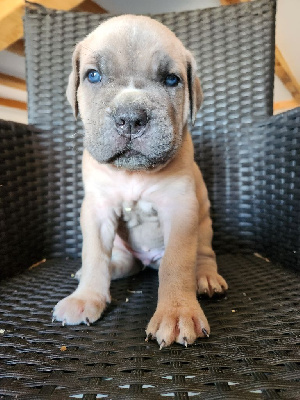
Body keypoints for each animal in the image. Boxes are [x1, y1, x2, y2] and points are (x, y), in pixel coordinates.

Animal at [53, 14, 227, 346]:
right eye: (93, 75)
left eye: (172, 80)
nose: (131, 117)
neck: (132, 173)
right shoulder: (97, 209)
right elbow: (94, 254)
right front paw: (86, 297)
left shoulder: (180, 208)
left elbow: (177, 263)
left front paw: (176, 313)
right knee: (121, 261)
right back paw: (111, 269)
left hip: (203, 225)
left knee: (202, 255)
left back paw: (205, 277)